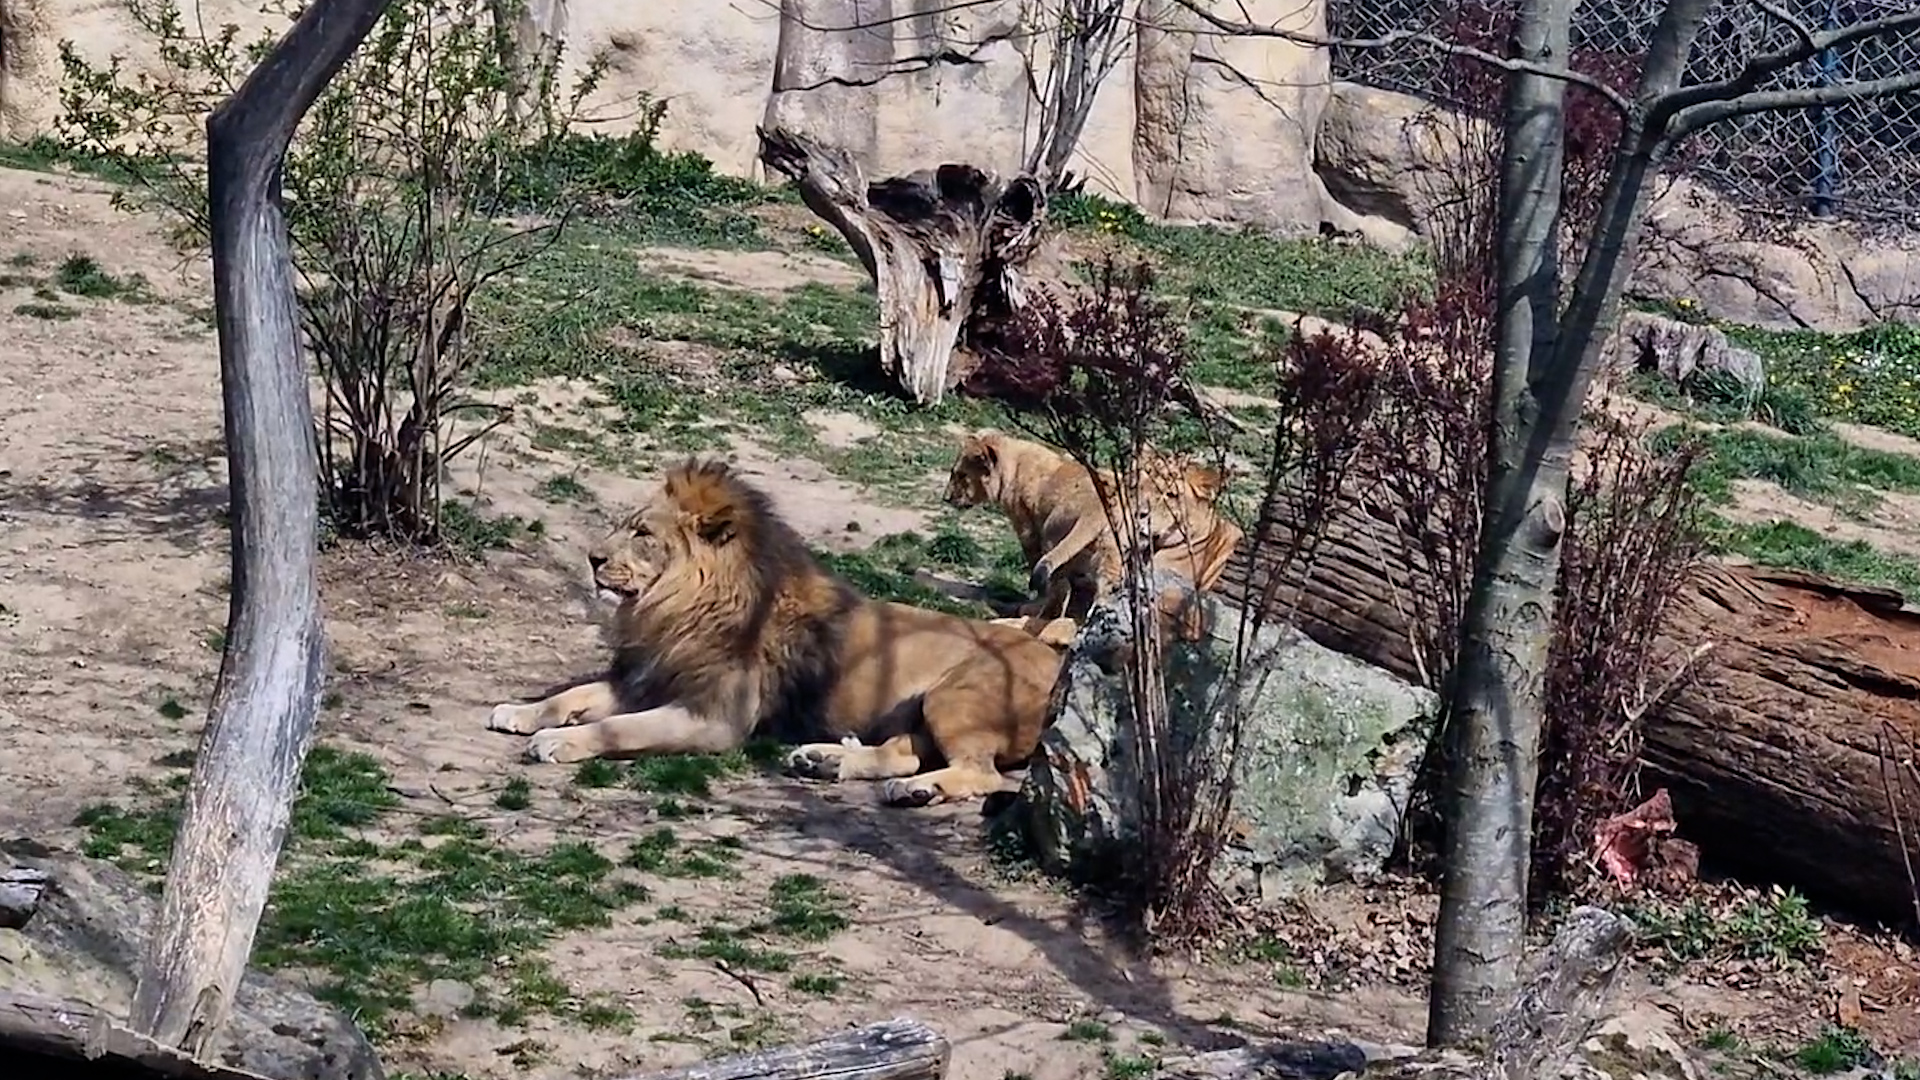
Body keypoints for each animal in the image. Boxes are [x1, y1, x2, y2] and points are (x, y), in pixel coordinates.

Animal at [483, 458, 1064, 807]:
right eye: (624, 526)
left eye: (642, 533)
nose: (592, 558)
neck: (673, 607)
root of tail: (1059, 660)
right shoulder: (647, 677)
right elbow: (573, 694)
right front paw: (519, 711)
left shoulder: (713, 718)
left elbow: (618, 729)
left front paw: (557, 740)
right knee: (905, 750)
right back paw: (825, 760)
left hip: (956, 695)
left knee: (978, 772)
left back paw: (915, 790)